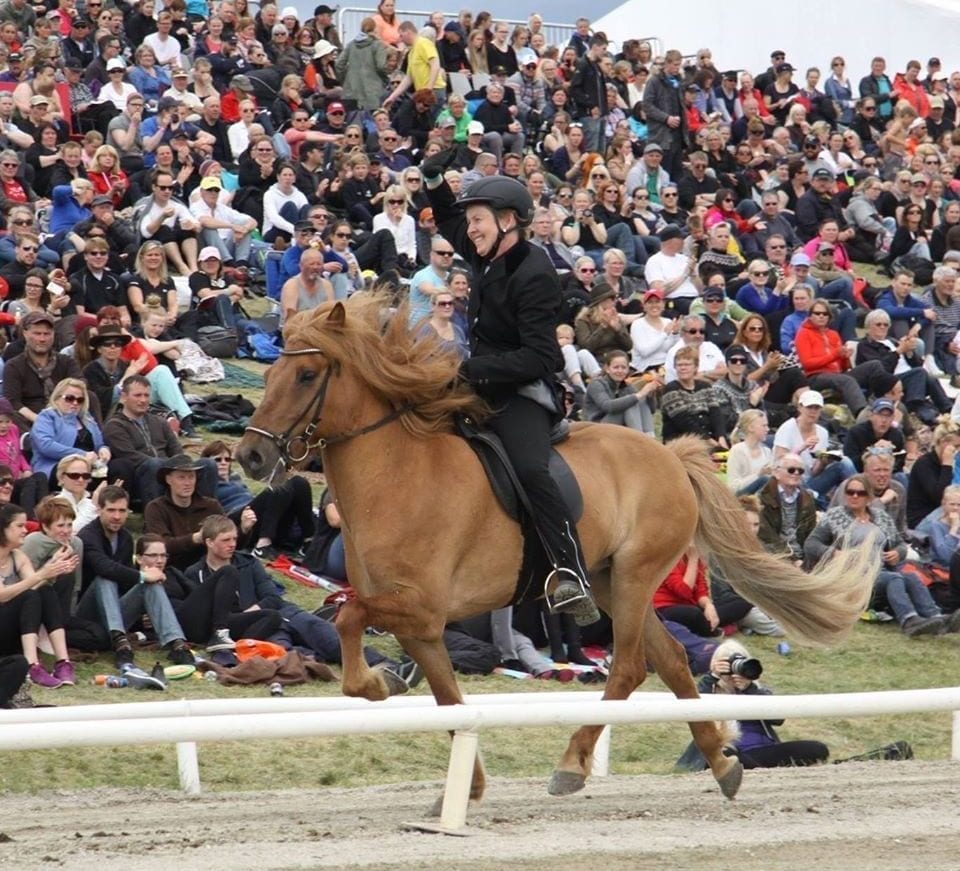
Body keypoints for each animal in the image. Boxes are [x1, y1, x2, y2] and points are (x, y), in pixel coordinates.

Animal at [234, 298, 876, 804]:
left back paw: (572, 766)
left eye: (306, 374)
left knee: (629, 667)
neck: (397, 473)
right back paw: (722, 765)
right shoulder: (422, 625)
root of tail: (672, 457)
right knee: (671, 661)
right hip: (612, 583)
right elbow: (447, 697)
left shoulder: (419, 606)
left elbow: (349, 620)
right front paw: (466, 784)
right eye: (273, 371)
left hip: (634, 576)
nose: (251, 458)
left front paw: (381, 684)